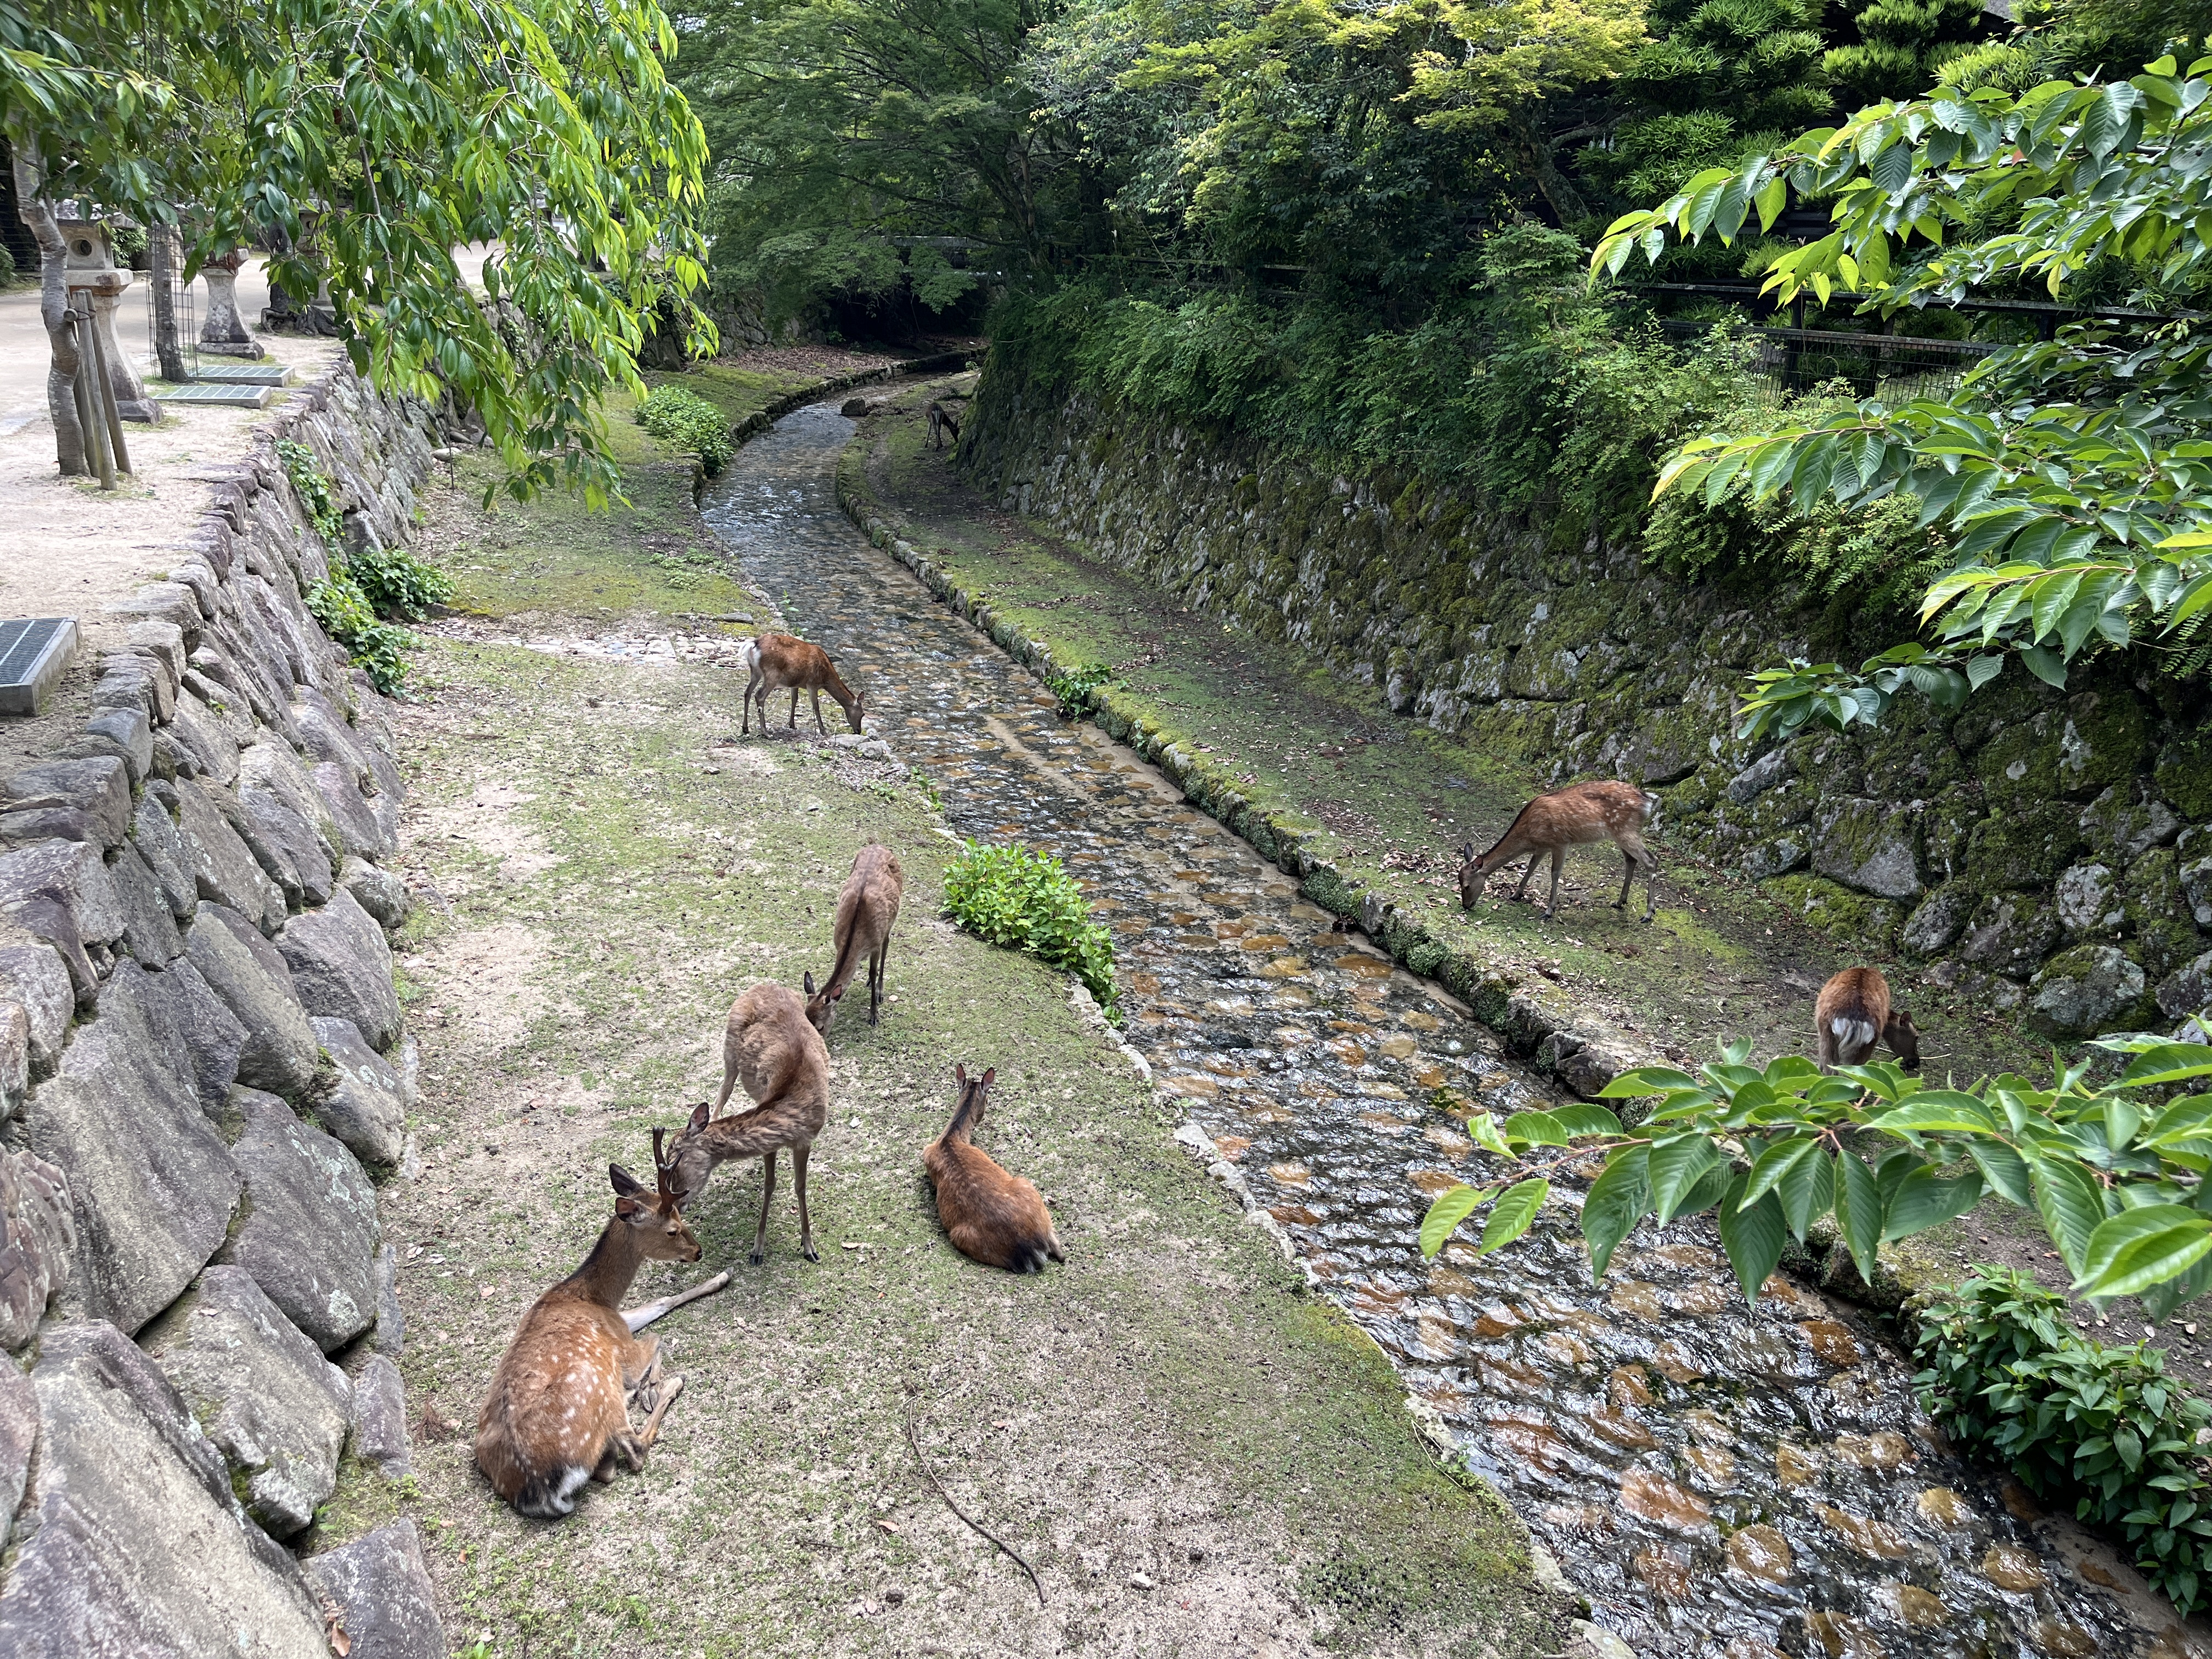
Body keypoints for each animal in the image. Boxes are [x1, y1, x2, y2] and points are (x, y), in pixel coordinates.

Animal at [474, 1133, 730, 1519]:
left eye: (681, 1214)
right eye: (672, 1229)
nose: (698, 1252)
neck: (593, 1296)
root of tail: (540, 1489)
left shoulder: (618, 1319)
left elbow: (661, 1304)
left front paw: (722, 1277)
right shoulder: (621, 1344)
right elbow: (657, 1336)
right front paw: (651, 1387)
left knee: (608, 1466)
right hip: (598, 1387)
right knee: (634, 1451)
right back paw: (666, 1388)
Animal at [665, 981, 832, 1264]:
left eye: (674, 1161)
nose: (676, 1206)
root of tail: (764, 985)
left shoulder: (806, 1139)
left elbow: (800, 1187)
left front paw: (810, 1247)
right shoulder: (772, 1143)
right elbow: (770, 1185)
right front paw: (757, 1249)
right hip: (729, 1052)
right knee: (722, 1094)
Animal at [740, 632, 864, 738]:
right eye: (863, 714)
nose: (858, 731)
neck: (825, 678)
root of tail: (754, 645)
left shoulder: (795, 684)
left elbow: (794, 700)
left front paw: (792, 724)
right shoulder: (812, 684)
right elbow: (816, 706)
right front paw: (823, 731)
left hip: (755, 671)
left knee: (747, 692)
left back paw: (745, 728)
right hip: (772, 674)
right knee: (759, 696)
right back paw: (765, 732)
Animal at [807, 843, 904, 1032]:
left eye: (820, 1027)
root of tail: (878, 845)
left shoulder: (875, 943)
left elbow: (873, 971)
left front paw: (874, 1015)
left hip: (891, 919)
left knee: (887, 943)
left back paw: (880, 991)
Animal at [1456, 780, 1661, 923]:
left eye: (1466, 886)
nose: (1466, 905)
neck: (1528, 836)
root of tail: (1648, 800)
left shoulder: (1560, 842)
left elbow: (1555, 873)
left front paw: (1549, 910)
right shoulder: (1542, 847)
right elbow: (1531, 867)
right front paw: (1516, 894)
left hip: (1625, 829)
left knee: (1651, 860)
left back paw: (1648, 913)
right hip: (1620, 833)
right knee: (1631, 860)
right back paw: (1620, 902)